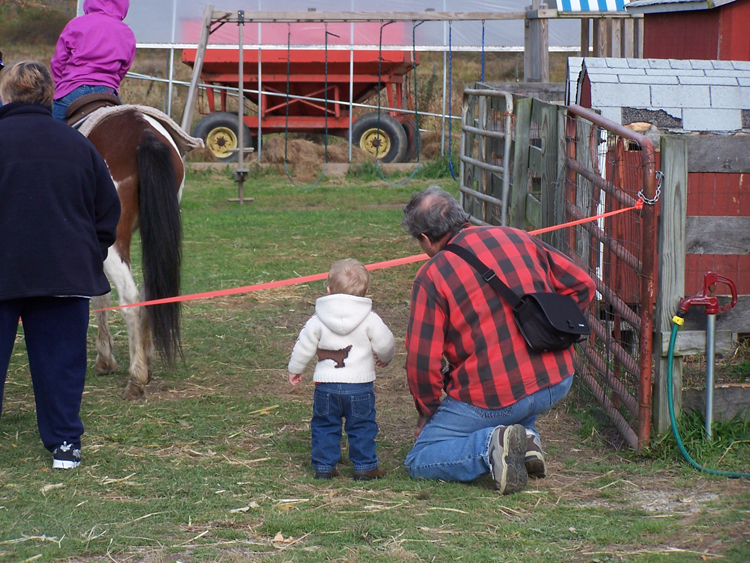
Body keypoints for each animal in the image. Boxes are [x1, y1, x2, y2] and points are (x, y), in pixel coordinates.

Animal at [80, 104, 203, 396]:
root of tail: (143, 131)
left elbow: (99, 298)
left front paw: (105, 359)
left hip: (112, 243)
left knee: (130, 298)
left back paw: (136, 377)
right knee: (149, 291)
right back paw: (145, 360)